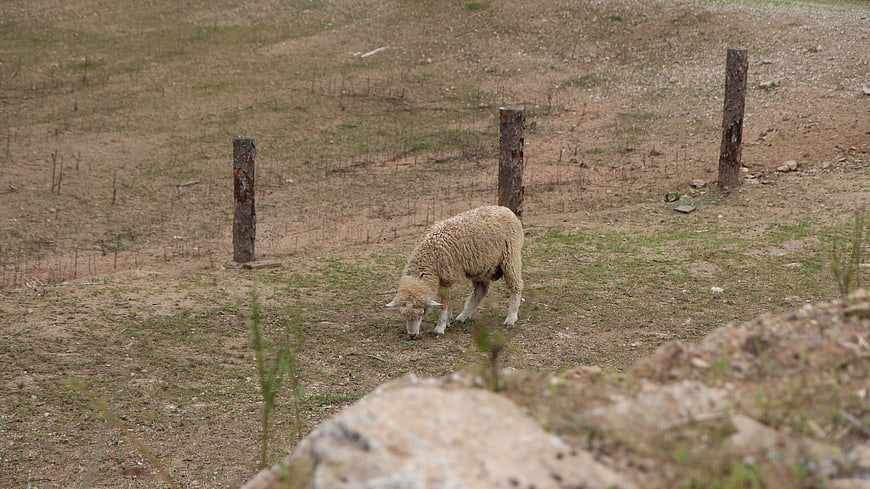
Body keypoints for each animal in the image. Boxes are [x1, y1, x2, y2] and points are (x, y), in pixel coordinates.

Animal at [386, 205, 524, 339]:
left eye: (422, 313)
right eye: (402, 314)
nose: (412, 335)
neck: (430, 253)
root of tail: (505, 209)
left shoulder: (451, 276)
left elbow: (445, 303)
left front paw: (440, 327)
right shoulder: (445, 278)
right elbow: (448, 300)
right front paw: (448, 320)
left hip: (510, 255)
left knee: (516, 285)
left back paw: (511, 318)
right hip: (481, 266)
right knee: (481, 290)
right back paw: (463, 316)